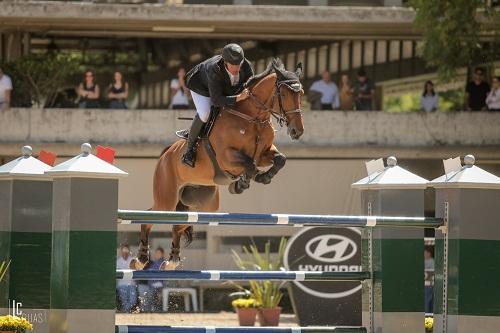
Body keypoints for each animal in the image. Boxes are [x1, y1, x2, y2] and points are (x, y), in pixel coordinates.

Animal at [131, 59, 304, 270]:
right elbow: (249, 165)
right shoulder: (226, 157)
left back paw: (171, 261)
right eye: (285, 94)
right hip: (167, 198)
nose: (297, 131)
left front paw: (263, 177)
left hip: (203, 205)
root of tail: (165, 154)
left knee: (179, 224)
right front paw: (240, 184)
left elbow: (279, 159)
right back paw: (140, 259)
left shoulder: (264, 153)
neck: (252, 117)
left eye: (301, 94)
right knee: (148, 217)